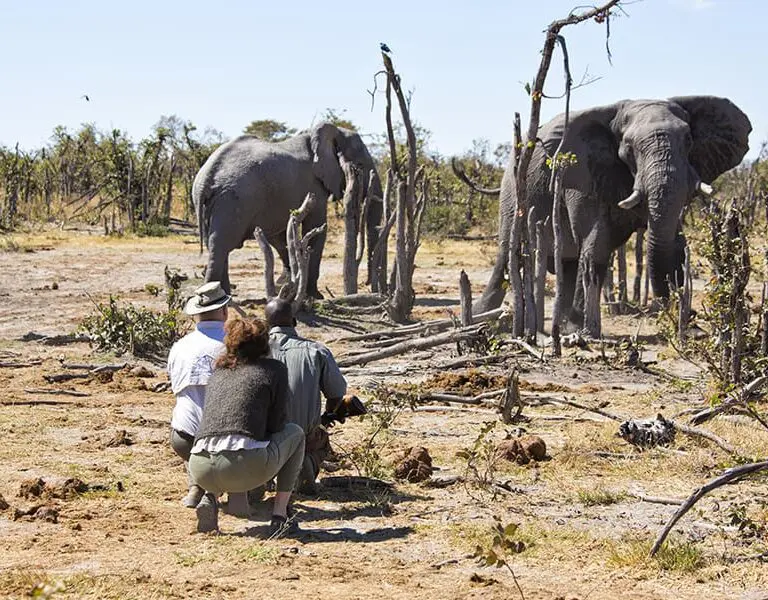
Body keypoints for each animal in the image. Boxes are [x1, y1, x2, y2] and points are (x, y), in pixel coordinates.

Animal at [192, 122, 383, 297]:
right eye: (359, 166)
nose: (367, 284)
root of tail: (206, 177)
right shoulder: (313, 187)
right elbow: (316, 228)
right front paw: (314, 296)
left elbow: (279, 236)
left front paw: (285, 285)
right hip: (233, 202)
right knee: (221, 244)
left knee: (217, 245)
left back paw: (224, 294)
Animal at [474, 96, 752, 337]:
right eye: (628, 148)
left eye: (689, 140)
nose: (676, 312)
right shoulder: (580, 171)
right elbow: (595, 240)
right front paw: (580, 331)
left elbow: (675, 243)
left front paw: (692, 331)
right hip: (512, 189)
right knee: (507, 255)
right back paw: (483, 317)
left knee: (569, 262)